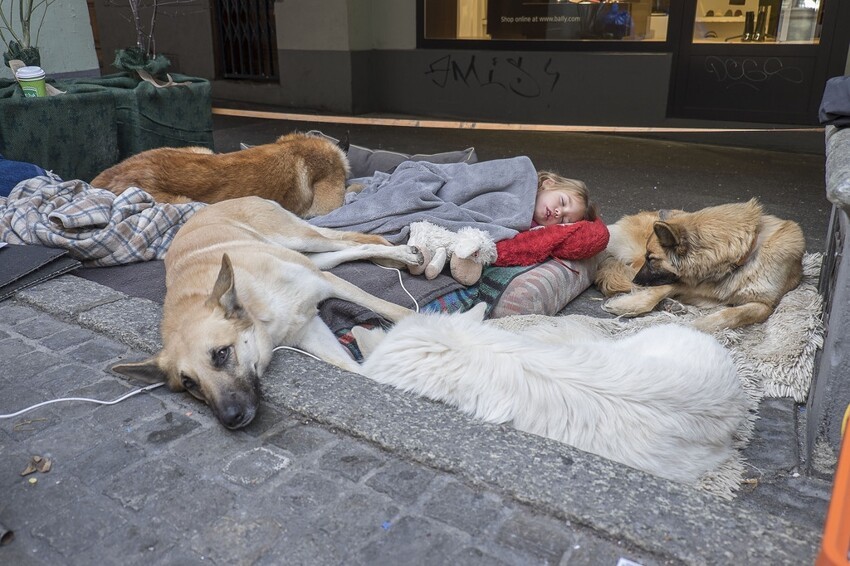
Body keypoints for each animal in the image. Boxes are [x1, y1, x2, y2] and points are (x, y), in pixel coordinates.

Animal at [111, 196, 422, 430]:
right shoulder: (310, 329)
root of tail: (214, 204)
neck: (259, 314)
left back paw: (405, 254)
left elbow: (393, 310)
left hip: (299, 239)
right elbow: (358, 371)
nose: (230, 419)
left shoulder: (327, 284)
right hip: (312, 255)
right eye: (189, 383)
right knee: (346, 252)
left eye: (221, 354)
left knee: (353, 241)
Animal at [588, 200, 800, 332]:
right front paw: (628, 304)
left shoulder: (764, 305)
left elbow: (734, 314)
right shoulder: (689, 282)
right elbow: (663, 288)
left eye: (652, 259)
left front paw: (698, 326)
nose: (637, 281)